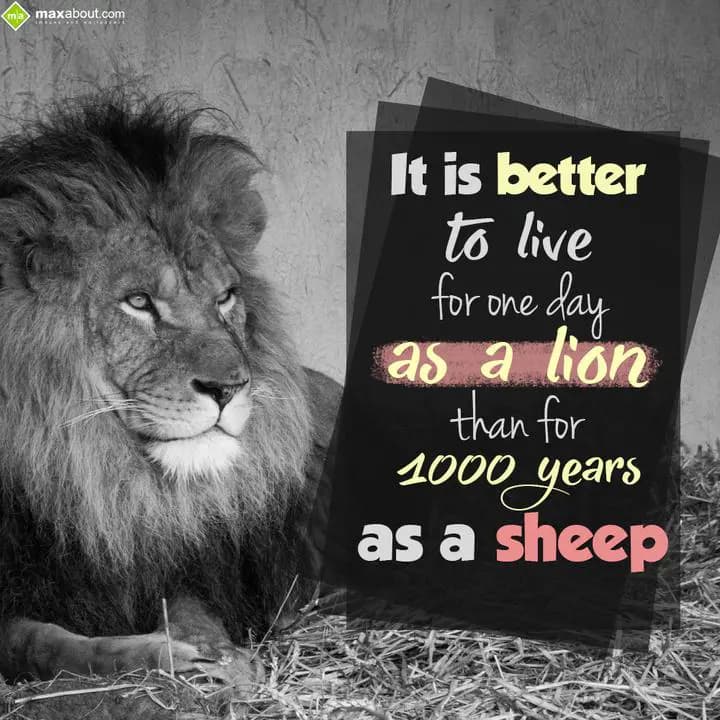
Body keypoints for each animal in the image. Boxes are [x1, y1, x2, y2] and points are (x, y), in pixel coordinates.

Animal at [0, 92, 340, 687]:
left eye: (225, 296)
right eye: (138, 302)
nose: (229, 388)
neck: (91, 483)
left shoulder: (179, 562)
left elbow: (190, 607)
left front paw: (220, 656)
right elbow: (45, 645)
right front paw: (158, 655)